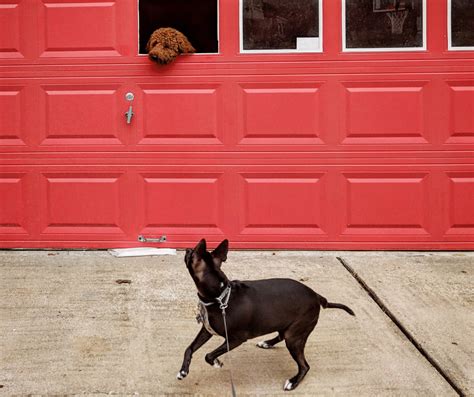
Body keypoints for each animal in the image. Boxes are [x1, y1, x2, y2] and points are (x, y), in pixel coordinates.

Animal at [179, 238, 356, 390]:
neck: (220, 297)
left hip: (294, 337)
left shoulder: (236, 339)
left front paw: (216, 362)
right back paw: (267, 343)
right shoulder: (207, 330)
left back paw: (293, 382)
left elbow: (208, 355)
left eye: (191, 253)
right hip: (288, 328)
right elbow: (189, 348)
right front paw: (183, 371)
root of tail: (317, 296)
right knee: (281, 335)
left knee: (305, 366)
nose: (186, 249)